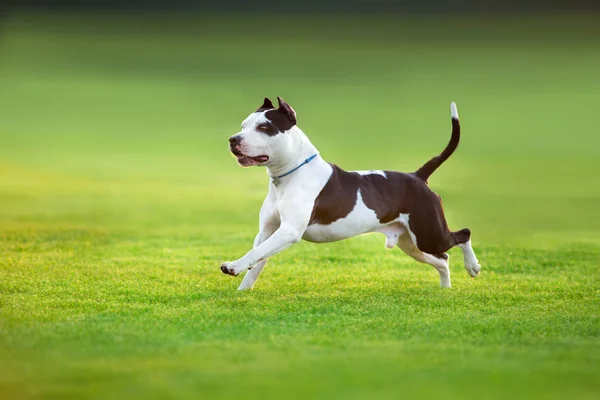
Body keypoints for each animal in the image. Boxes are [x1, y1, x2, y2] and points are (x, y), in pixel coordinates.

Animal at [223, 97, 480, 290]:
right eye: (244, 125)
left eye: (264, 127)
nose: (233, 139)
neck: (289, 175)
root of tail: (417, 177)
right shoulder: (268, 231)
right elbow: (258, 258)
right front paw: (242, 291)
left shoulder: (288, 231)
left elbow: (256, 253)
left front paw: (233, 266)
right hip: (412, 243)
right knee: (443, 259)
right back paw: (445, 289)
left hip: (429, 233)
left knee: (464, 234)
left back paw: (473, 267)